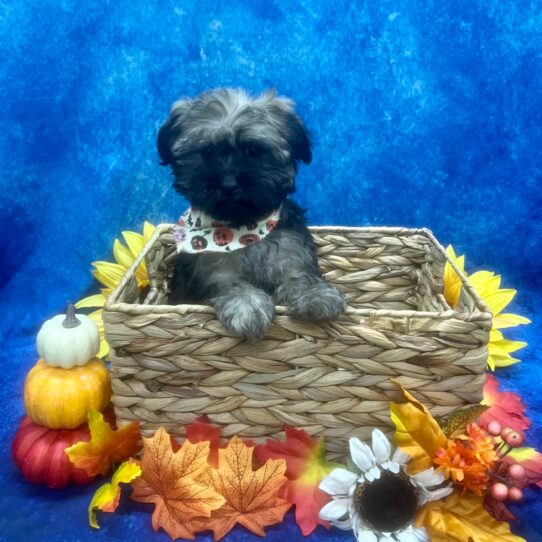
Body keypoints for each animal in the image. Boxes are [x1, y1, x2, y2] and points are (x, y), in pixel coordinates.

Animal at [157, 90, 346, 342]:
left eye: (254, 151)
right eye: (207, 152)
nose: (229, 184)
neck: (243, 229)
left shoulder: (291, 254)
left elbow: (299, 275)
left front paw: (316, 295)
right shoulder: (213, 271)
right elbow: (234, 286)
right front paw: (247, 308)